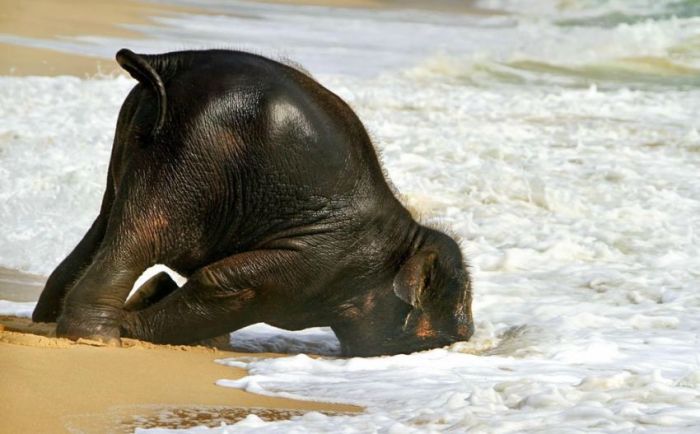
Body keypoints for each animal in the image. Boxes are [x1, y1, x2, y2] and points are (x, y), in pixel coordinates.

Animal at [32, 49, 474, 358]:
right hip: (193, 155)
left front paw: (158, 301)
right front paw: (138, 318)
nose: (467, 337)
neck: (405, 238)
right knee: (144, 234)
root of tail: (169, 64)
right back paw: (98, 338)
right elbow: (227, 284)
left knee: (106, 221)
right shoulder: (318, 261)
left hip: (138, 136)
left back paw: (49, 322)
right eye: (453, 332)